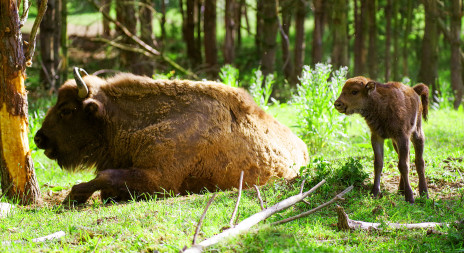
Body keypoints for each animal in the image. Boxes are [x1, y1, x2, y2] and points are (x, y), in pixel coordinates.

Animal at [33, 68, 308, 205]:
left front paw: (73, 197)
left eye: (67, 110)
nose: (39, 138)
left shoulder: (161, 180)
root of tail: (302, 147)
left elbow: (104, 177)